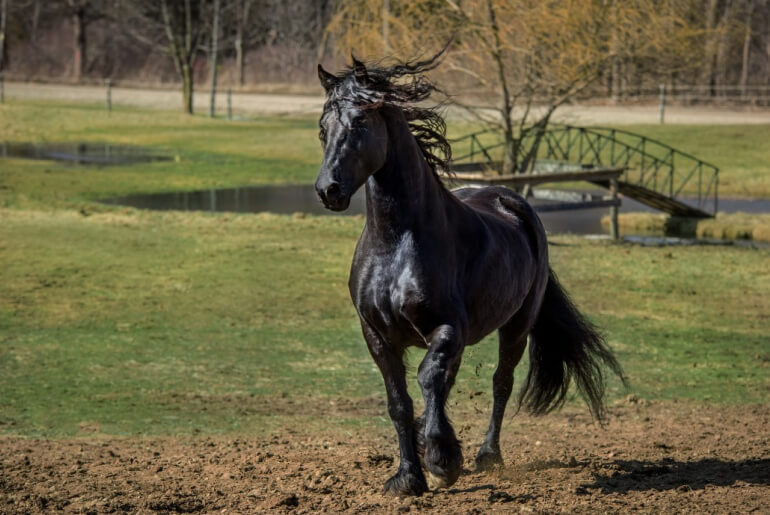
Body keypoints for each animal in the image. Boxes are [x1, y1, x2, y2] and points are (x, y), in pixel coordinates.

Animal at [316, 52, 620, 496]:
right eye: (323, 128)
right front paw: (409, 476)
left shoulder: (447, 328)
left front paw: (443, 461)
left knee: (500, 382)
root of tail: (512, 200)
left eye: (359, 123)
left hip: (517, 326)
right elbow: (399, 402)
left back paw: (485, 455)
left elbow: (428, 379)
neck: (396, 244)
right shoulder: (378, 336)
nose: (328, 190)